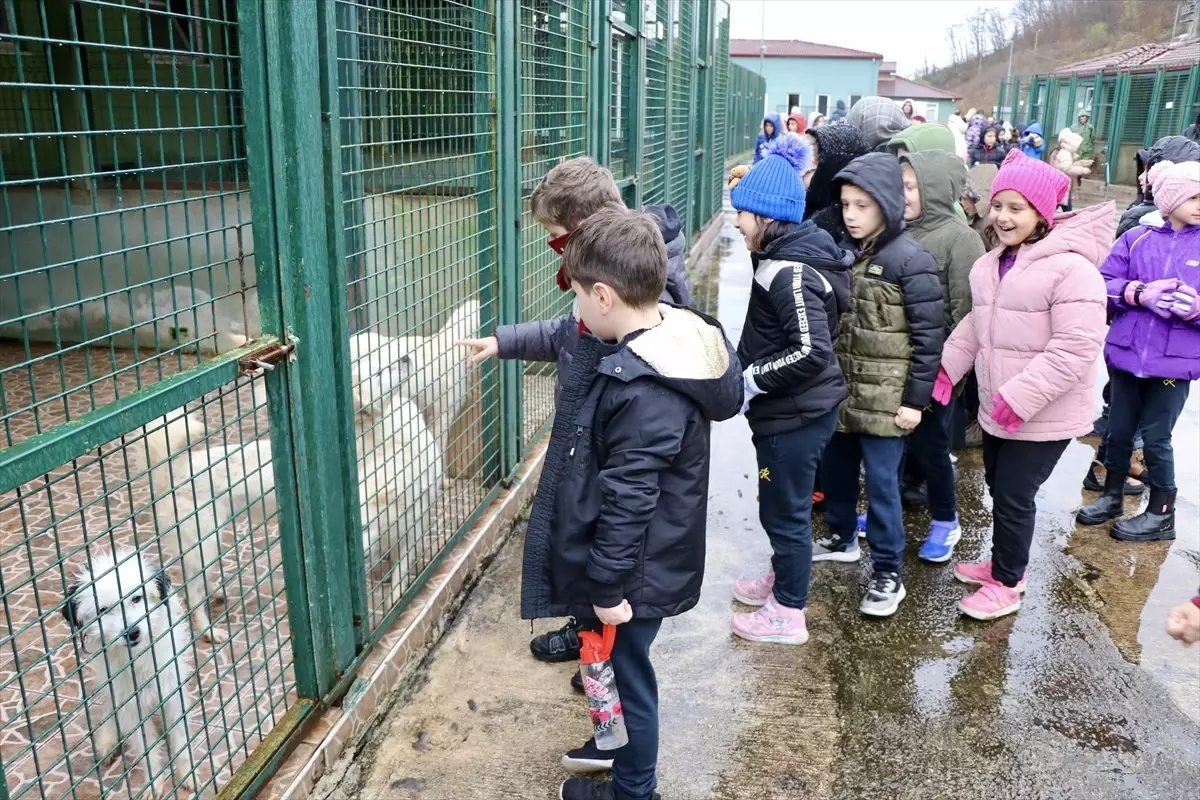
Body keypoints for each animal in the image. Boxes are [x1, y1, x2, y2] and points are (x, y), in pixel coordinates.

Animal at [62, 551, 194, 796]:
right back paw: (107, 740)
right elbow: (146, 747)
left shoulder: (172, 691)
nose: (132, 632)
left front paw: (187, 772)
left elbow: (180, 735)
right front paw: (154, 782)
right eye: (103, 610)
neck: (136, 658)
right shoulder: (129, 705)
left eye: (136, 598)